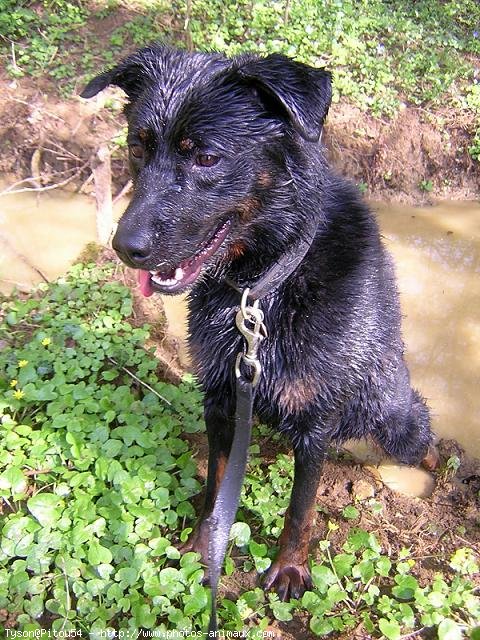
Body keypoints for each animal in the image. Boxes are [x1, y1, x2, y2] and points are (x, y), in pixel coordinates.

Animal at [81, 43, 436, 600]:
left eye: (205, 156)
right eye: (138, 147)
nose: (125, 247)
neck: (260, 287)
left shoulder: (316, 421)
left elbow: (300, 508)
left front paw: (290, 568)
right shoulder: (222, 400)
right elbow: (215, 487)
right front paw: (203, 551)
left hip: (390, 416)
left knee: (423, 435)